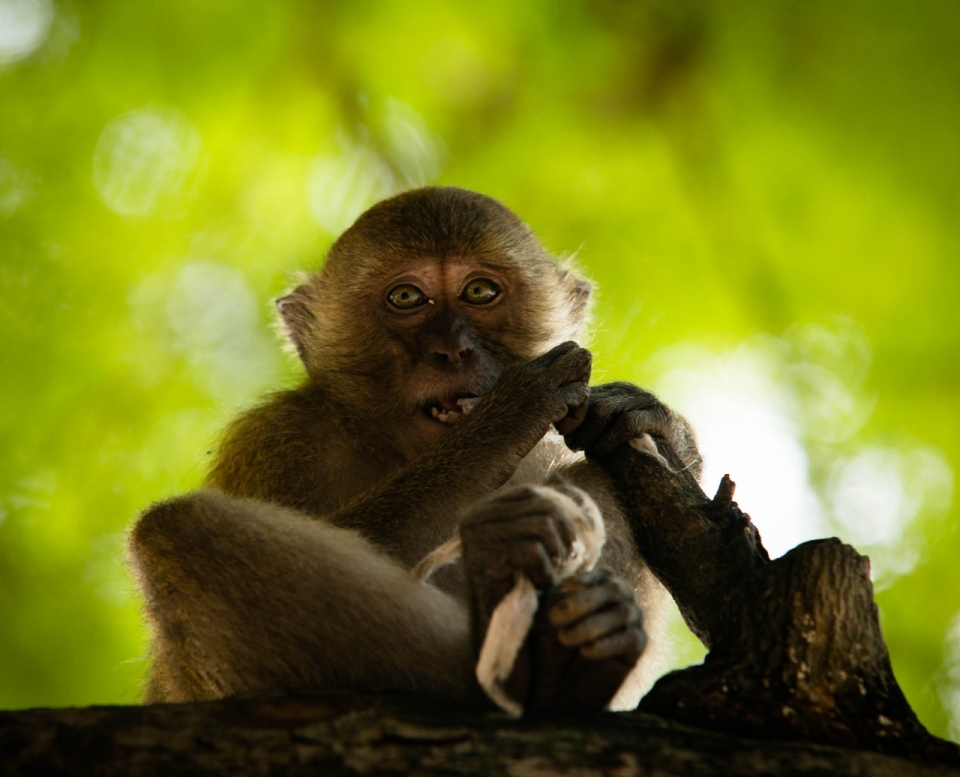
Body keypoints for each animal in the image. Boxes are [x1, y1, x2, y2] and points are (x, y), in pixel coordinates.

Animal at [127, 186, 700, 708]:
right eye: (406, 298)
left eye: (480, 291)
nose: (452, 350)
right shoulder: (276, 441)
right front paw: (504, 419)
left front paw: (655, 422)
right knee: (175, 529)